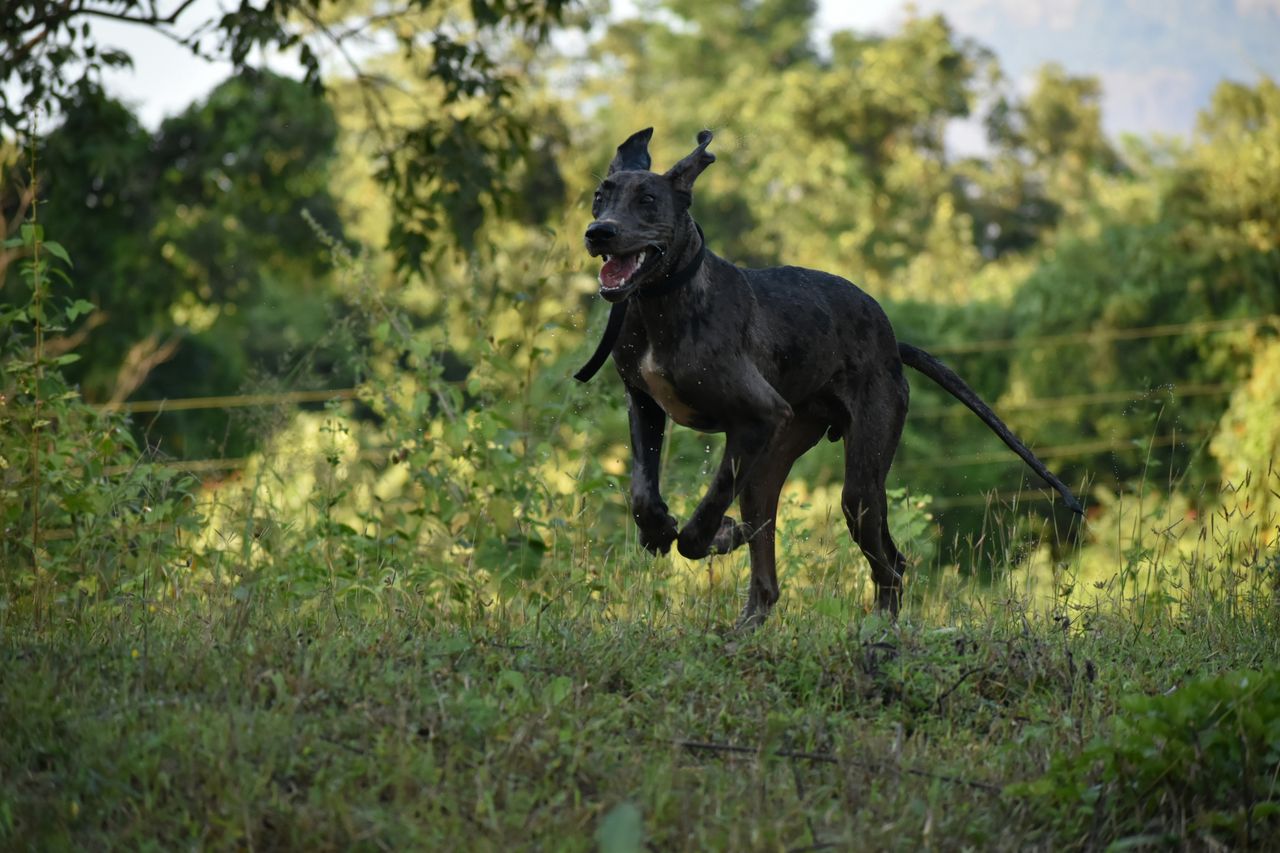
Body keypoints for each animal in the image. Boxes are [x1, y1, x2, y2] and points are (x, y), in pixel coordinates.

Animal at [581, 126, 1080, 625]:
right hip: (769, 470)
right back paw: (743, 629)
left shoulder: (761, 413)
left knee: (891, 563)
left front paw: (718, 534)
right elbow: (643, 491)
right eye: (599, 198)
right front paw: (658, 528)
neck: (664, 299)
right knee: (768, 579)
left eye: (648, 199)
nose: (598, 232)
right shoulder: (644, 401)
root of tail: (893, 345)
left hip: (859, 479)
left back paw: (877, 627)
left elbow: (704, 515)